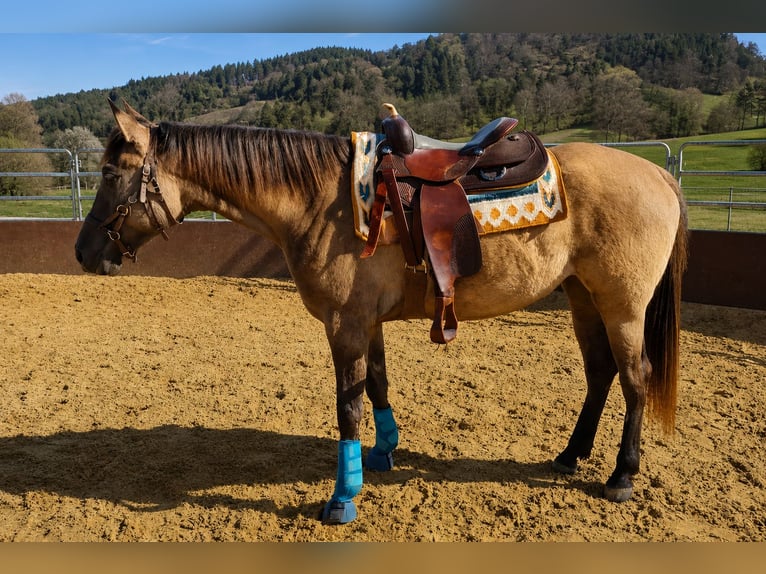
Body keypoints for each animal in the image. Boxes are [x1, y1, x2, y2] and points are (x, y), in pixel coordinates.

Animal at [75, 100, 688, 525]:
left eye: (109, 174)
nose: (82, 252)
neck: (320, 199)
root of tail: (659, 174)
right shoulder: (364, 322)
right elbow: (377, 385)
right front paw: (383, 452)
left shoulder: (343, 324)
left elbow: (346, 405)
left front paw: (342, 497)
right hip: (583, 295)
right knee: (600, 374)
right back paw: (570, 454)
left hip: (622, 305)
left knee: (635, 378)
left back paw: (621, 476)